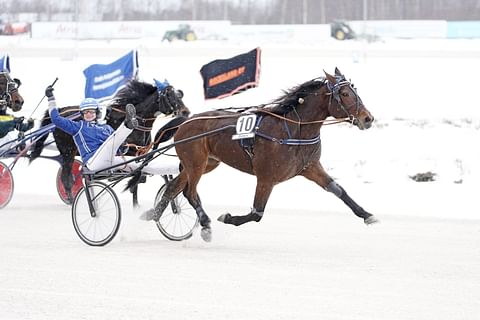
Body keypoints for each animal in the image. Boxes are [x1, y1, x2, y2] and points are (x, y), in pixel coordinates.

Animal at [28, 80, 191, 205]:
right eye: (169, 95)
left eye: (179, 95)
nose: (185, 112)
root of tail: (61, 111)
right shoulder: (128, 153)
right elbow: (137, 176)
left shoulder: (139, 153)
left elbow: (140, 177)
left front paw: (136, 203)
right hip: (67, 151)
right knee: (67, 177)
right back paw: (71, 198)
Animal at [142, 69, 378, 241]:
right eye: (345, 94)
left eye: (355, 91)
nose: (367, 118)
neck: (293, 129)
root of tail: (186, 120)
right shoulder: (266, 177)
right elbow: (257, 213)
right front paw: (228, 217)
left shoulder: (310, 167)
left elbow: (338, 190)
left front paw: (367, 215)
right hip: (196, 163)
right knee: (189, 192)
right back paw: (206, 225)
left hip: (205, 163)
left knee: (173, 188)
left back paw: (153, 213)